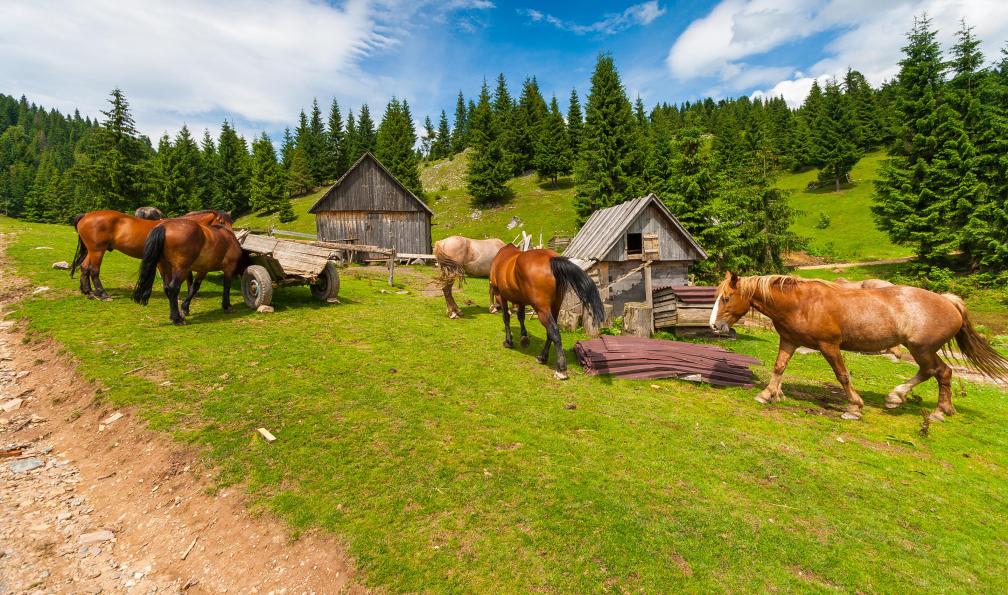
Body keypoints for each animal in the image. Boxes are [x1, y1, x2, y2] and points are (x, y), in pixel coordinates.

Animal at [70, 209, 229, 300]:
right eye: (221, 222)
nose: (229, 236)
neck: (179, 228)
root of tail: (86, 215)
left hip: (92, 251)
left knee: (84, 268)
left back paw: (88, 292)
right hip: (97, 251)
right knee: (94, 271)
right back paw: (102, 294)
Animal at [489, 245, 604, 380]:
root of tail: (551, 259)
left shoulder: (500, 295)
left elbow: (506, 318)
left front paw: (508, 341)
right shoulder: (521, 300)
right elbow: (521, 316)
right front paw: (524, 337)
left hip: (542, 309)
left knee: (554, 331)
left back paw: (561, 369)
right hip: (555, 306)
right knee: (551, 332)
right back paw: (543, 357)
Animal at [709, 272, 1008, 421]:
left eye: (726, 298)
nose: (714, 326)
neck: (801, 303)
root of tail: (948, 301)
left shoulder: (829, 346)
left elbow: (842, 375)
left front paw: (854, 407)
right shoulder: (790, 341)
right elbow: (779, 367)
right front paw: (767, 394)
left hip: (921, 348)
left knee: (938, 372)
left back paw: (932, 409)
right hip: (922, 349)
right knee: (937, 372)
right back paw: (908, 401)